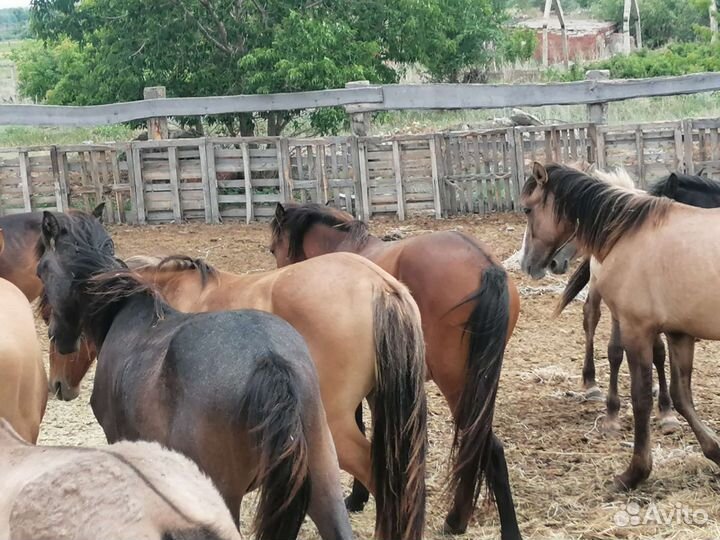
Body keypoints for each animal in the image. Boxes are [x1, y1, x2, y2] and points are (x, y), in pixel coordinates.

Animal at [520, 161, 720, 490]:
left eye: (527, 209)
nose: (529, 264)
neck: (629, 233)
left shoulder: (636, 330)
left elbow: (641, 398)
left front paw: (635, 472)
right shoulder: (679, 333)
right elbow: (682, 396)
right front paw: (715, 450)